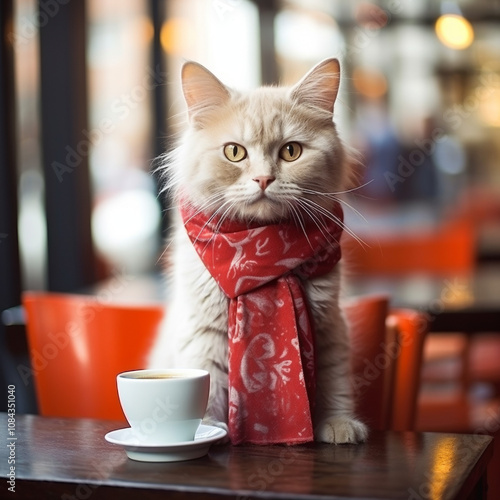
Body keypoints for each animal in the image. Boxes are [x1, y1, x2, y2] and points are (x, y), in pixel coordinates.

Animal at [148, 58, 368, 446]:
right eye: (234, 152)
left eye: (291, 152)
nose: (264, 179)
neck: (262, 251)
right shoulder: (204, 333)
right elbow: (208, 385)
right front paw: (209, 429)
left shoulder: (328, 325)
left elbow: (333, 379)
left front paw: (337, 424)